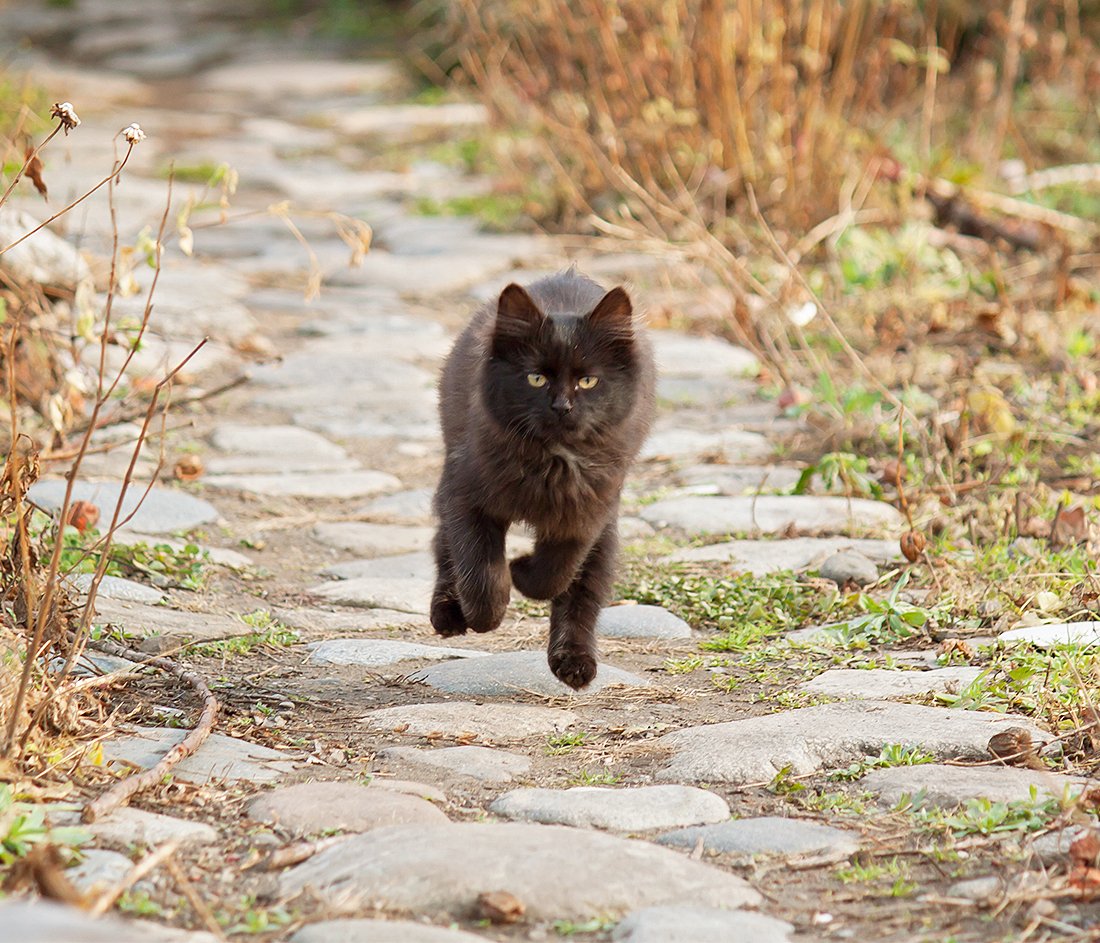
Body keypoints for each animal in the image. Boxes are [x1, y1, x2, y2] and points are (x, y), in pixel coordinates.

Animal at [426, 268, 651, 686]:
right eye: (535, 379)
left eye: (587, 381)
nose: (562, 407)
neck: (551, 462)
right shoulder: (467, 496)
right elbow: (480, 571)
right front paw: (485, 615)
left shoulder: (587, 513)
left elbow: (557, 573)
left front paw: (521, 569)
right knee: (443, 546)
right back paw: (449, 613)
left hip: (606, 535)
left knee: (584, 593)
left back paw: (574, 662)